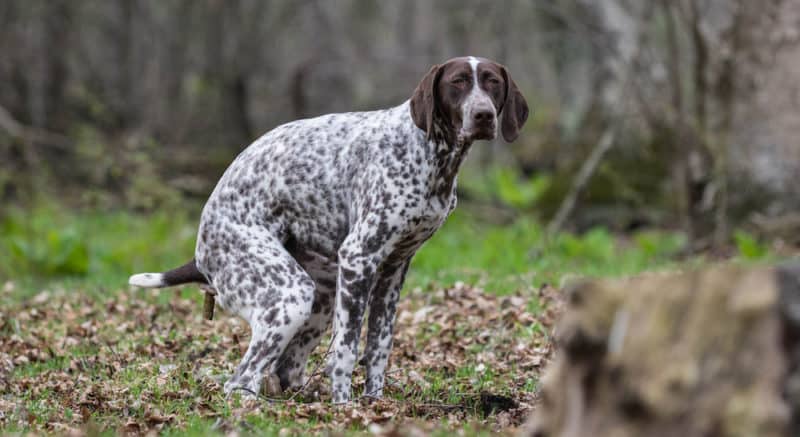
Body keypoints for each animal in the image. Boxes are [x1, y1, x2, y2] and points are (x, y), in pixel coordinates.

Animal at [130, 55, 532, 402]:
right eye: (457, 82)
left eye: (493, 83)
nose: (483, 115)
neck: (430, 154)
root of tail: (201, 249)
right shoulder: (359, 259)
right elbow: (346, 351)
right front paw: (344, 408)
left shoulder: (393, 271)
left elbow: (378, 349)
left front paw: (374, 403)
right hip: (289, 295)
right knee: (241, 380)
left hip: (320, 297)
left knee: (284, 369)